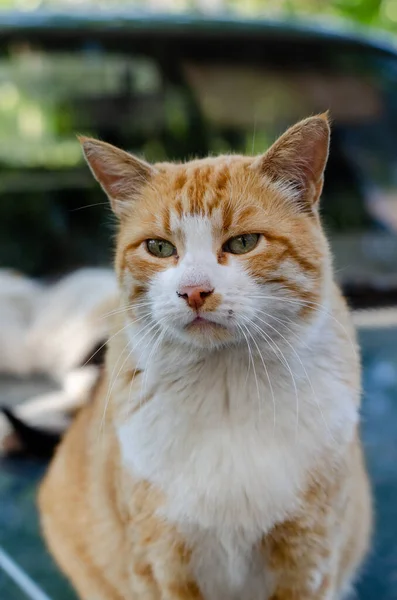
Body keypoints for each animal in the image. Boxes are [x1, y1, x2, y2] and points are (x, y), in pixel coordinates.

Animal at [38, 116, 370, 600]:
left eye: (244, 242)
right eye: (159, 248)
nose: (194, 291)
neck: (225, 386)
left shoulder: (308, 560)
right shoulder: (162, 564)